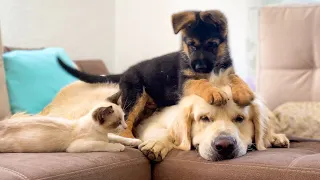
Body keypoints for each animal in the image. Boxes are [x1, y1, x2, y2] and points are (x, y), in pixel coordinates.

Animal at [0, 100, 141, 153]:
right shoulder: (78, 146)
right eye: (118, 122)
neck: (101, 133)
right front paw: (119, 147)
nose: (125, 126)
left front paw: (135, 141)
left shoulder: (107, 136)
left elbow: (117, 137)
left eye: (124, 118)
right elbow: (103, 144)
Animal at [57, 10, 252, 137]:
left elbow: (235, 77)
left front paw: (244, 91)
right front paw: (214, 91)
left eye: (212, 44)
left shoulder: (226, 70)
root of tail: (125, 72)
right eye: (192, 45)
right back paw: (129, 139)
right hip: (136, 94)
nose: (200, 67)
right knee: (127, 119)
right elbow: (200, 82)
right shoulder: (185, 82)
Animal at [134, 69, 288, 162]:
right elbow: (167, 134)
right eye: (204, 118)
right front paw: (156, 144)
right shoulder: (149, 124)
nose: (225, 145)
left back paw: (276, 137)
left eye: (240, 118)